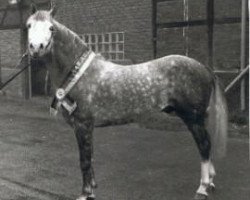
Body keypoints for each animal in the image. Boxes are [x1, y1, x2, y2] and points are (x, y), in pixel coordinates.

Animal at [26, 5, 228, 200]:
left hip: (193, 118)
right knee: (207, 144)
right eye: (28, 25)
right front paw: (92, 189)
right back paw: (210, 182)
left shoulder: (82, 124)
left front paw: (85, 193)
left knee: (204, 145)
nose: (36, 47)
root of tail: (203, 67)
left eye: (51, 28)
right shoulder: (86, 127)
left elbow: (84, 160)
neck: (79, 72)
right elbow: (90, 157)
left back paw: (203, 187)